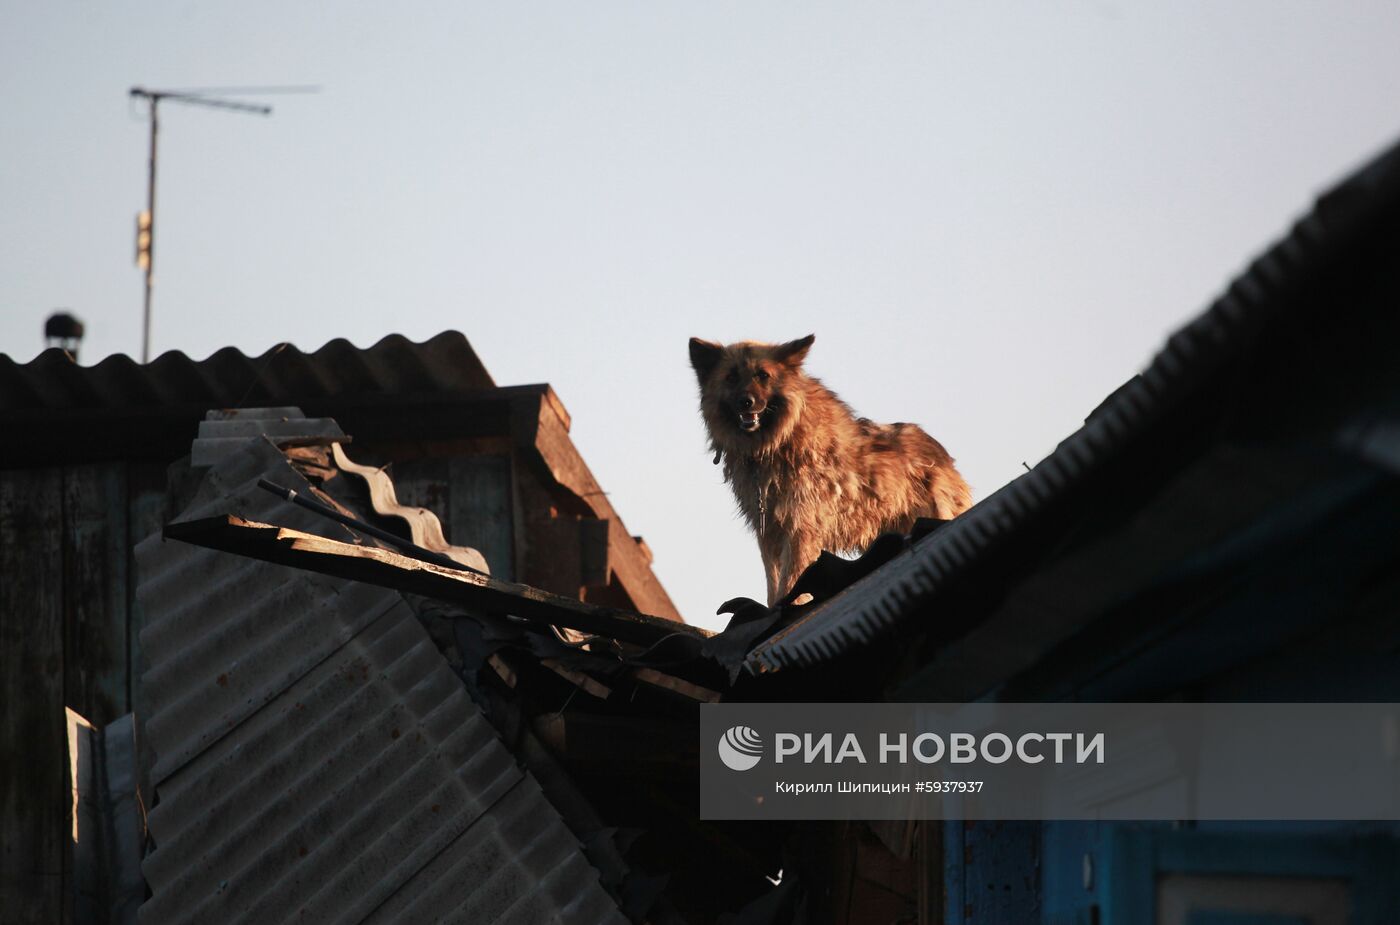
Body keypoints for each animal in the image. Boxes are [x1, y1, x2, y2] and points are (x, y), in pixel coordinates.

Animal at [688, 333, 974, 607]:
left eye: (763, 375)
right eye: (731, 377)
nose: (746, 402)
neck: (775, 443)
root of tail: (943, 456)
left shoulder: (799, 526)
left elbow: (789, 581)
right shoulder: (769, 531)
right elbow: (774, 582)